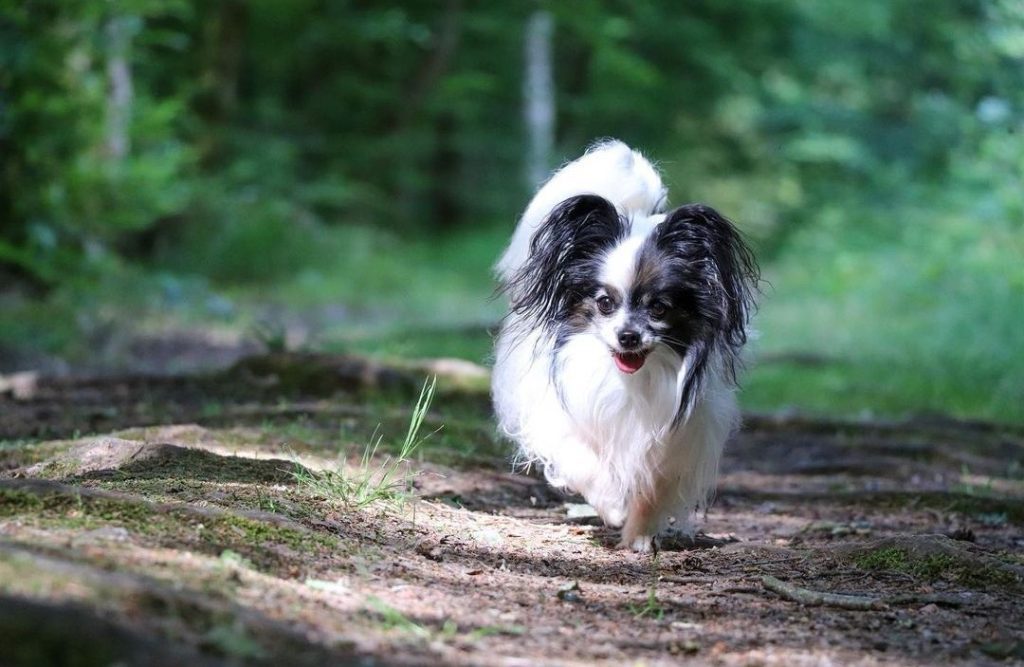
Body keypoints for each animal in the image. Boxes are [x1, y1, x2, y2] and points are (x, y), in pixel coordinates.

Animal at [491, 138, 757, 549]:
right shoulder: (560, 418)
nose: (627, 336)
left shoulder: (680, 436)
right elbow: (584, 459)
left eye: (659, 307)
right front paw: (613, 505)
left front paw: (638, 535)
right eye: (605, 303)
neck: (631, 380)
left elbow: (653, 486)